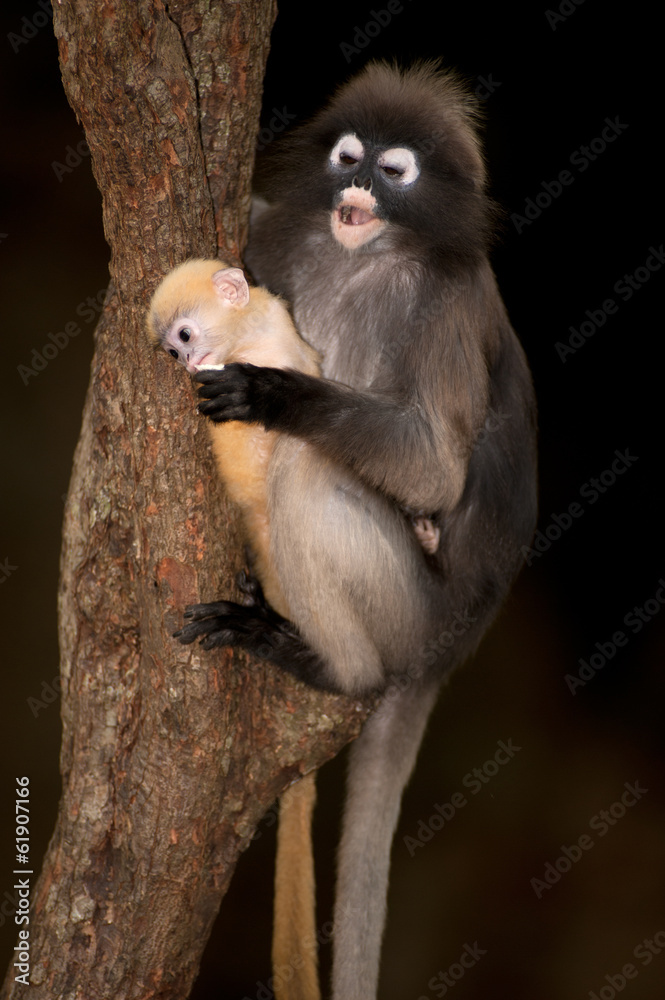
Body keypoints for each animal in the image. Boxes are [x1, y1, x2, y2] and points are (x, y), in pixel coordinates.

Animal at [168, 62, 537, 1000]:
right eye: (348, 157)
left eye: (394, 170)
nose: (358, 189)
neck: (354, 256)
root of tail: (443, 652)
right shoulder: (282, 235)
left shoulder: (445, 301)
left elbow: (435, 471)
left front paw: (275, 395)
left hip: (404, 612)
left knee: (308, 476)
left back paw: (321, 663)